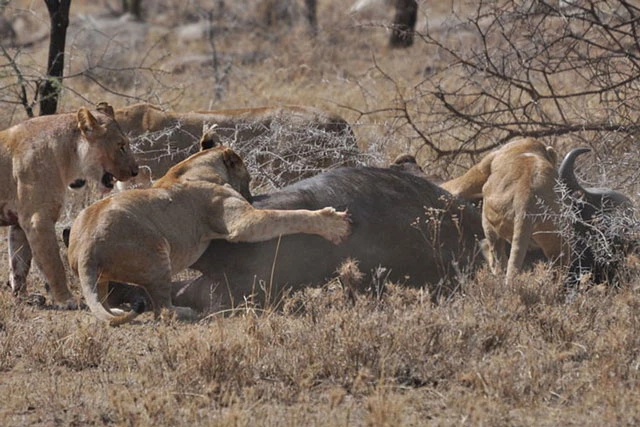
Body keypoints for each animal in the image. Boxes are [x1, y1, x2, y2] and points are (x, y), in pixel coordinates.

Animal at [0, 102, 139, 306]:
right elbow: (54, 264)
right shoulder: (37, 219)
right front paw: (66, 300)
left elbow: (19, 263)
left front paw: (22, 296)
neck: (66, 157)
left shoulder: (19, 222)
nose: (135, 171)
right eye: (121, 146)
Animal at [67, 145, 352, 326]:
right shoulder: (243, 223)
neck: (192, 166)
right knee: (163, 310)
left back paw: (113, 309)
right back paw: (185, 312)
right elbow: (289, 217)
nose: (251, 195)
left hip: (104, 268)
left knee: (103, 294)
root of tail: (86, 248)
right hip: (157, 254)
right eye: (248, 177)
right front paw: (333, 223)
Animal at [440, 137, 564, 284]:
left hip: (490, 217)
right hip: (555, 235)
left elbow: (458, 185)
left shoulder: (482, 168)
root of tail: (526, 200)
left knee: (497, 260)